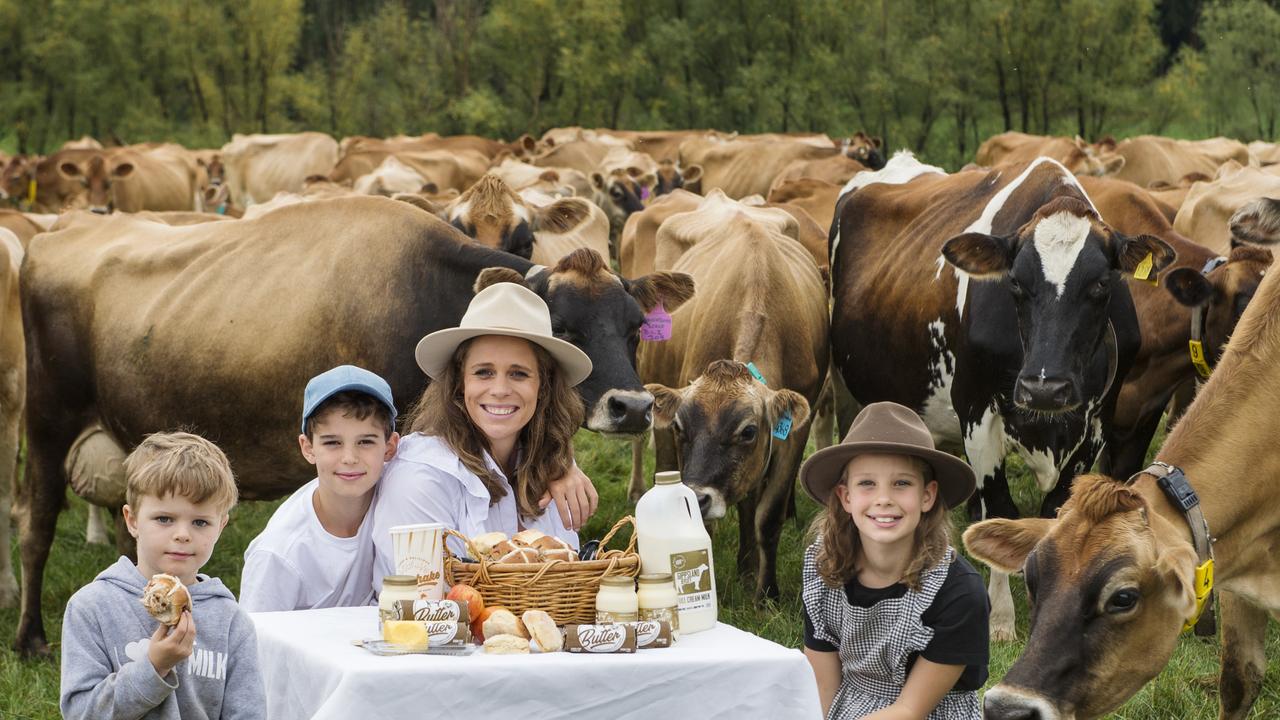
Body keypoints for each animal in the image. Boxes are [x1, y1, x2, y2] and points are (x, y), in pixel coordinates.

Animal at [824, 154, 1172, 635]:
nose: (1044, 386)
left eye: (1102, 284)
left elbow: (1054, 509)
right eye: (1015, 285)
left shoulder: (1095, 424)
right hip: (845, 387)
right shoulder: (977, 414)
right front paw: (1002, 618)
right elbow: (999, 507)